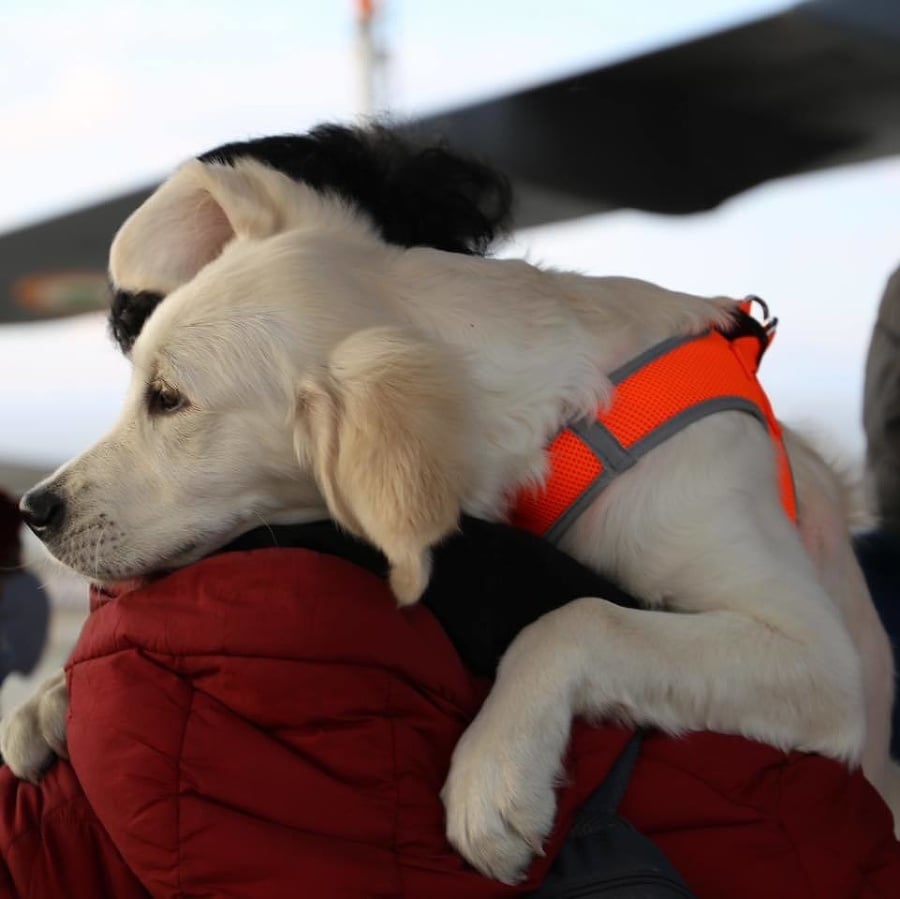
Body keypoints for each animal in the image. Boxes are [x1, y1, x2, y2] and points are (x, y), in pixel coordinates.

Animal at [5, 156, 892, 884]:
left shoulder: (820, 658)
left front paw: (494, 772)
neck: (566, 421)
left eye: (168, 399)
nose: (35, 509)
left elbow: (581, 617)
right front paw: (45, 697)